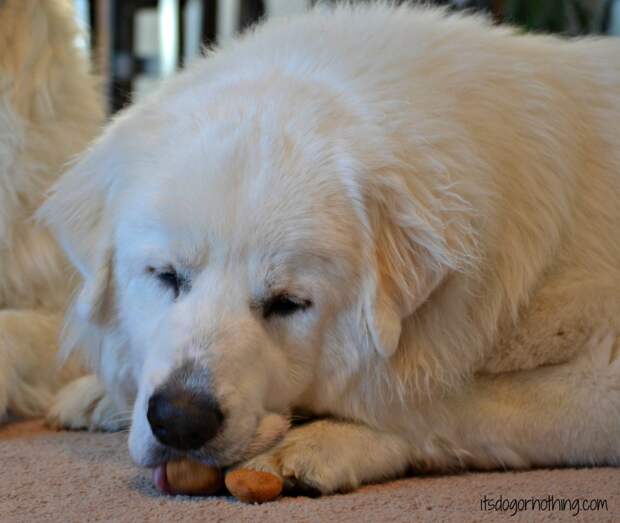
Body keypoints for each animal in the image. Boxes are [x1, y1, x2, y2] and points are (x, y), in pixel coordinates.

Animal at [42, 4, 620, 496]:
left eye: (289, 304)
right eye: (165, 276)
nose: (181, 420)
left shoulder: (599, 380)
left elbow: (436, 401)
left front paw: (325, 441)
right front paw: (99, 392)